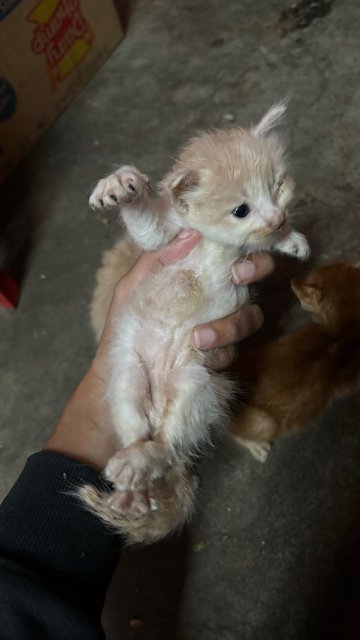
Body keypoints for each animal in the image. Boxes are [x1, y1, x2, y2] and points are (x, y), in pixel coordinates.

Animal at [81, 102, 310, 544]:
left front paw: (290, 238)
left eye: (278, 187)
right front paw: (120, 185)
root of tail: (158, 405)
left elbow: (264, 244)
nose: (276, 218)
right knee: (147, 436)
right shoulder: (166, 238)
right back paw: (133, 471)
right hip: (129, 377)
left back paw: (135, 487)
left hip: (195, 385)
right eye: (241, 210)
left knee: (168, 445)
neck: (216, 243)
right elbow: (147, 227)